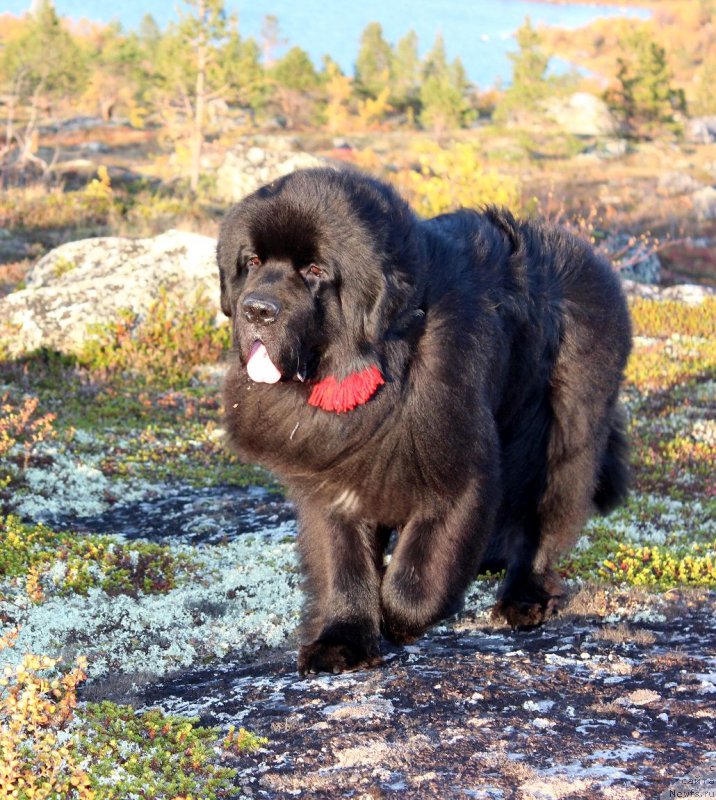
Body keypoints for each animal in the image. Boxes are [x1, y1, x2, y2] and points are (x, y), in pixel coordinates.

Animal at [218, 167, 632, 676]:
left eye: (314, 271)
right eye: (253, 262)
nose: (257, 310)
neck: (385, 362)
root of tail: (594, 261)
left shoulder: (459, 472)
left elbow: (416, 577)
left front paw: (399, 621)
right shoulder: (333, 478)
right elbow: (343, 564)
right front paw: (342, 640)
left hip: (563, 437)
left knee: (544, 521)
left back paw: (524, 597)